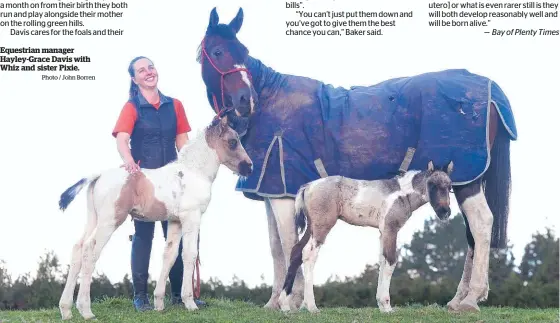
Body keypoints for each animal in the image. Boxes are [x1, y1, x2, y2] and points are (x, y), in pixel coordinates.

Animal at [56, 117, 252, 322]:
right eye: (233, 141)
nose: (249, 166)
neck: (194, 172)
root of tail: (98, 175)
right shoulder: (192, 217)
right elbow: (189, 255)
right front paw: (190, 303)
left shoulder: (175, 222)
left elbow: (170, 255)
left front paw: (159, 303)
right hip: (109, 222)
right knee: (90, 251)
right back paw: (86, 310)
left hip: (93, 219)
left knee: (78, 249)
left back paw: (66, 310)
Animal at [280, 162, 456, 314]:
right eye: (432, 185)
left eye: (449, 187)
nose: (445, 212)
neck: (402, 192)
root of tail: (308, 186)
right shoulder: (391, 229)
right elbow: (391, 260)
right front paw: (387, 306)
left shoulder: (383, 232)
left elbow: (382, 260)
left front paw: (381, 305)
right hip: (321, 226)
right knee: (308, 254)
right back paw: (311, 306)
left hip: (311, 227)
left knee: (296, 252)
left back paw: (284, 305)